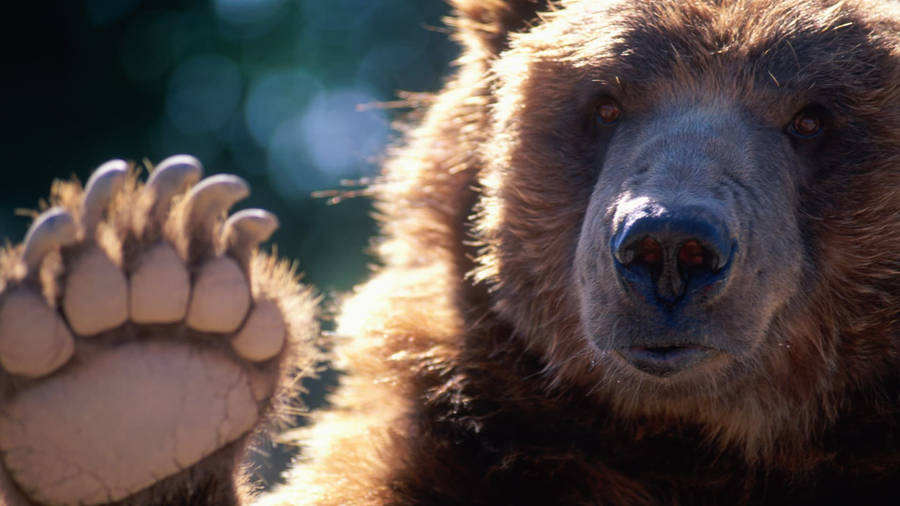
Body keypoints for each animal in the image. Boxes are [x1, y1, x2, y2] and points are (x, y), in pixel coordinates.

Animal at [1, 0, 900, 504]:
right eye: (606, 102)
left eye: (812, 116)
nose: (668, 245)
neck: (702, 441)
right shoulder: (447, 446)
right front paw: (141, 349)